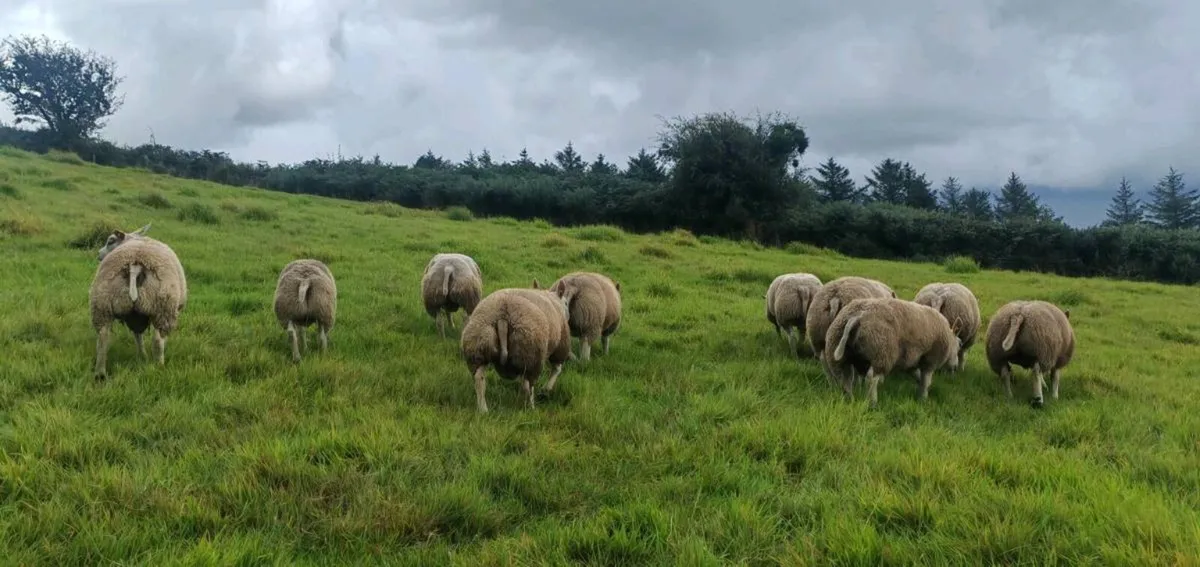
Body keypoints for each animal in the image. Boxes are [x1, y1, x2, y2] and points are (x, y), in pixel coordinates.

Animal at [88, 223, 188, 380]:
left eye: (110, 241)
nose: (99, 254)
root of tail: (135, 265)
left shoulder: (135, 316)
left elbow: (137, 335)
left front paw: (142, 356)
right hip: (164, 307)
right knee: (158, 341)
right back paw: (159, 367)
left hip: (101, 304)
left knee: (103, 339)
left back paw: (100, 374)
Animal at [824, 297, 961, 408]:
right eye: (959, 345)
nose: (955, 367)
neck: (949, 340)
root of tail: (857, 316)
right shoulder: (930, 359)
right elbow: (926, 381)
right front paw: (923, 399)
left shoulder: (910, 361)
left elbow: (918, 377)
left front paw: (921, 392)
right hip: (882, 352)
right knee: (871, 379)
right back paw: (873, 403)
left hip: (838, 352)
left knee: (845, 380)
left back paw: (849, 400)